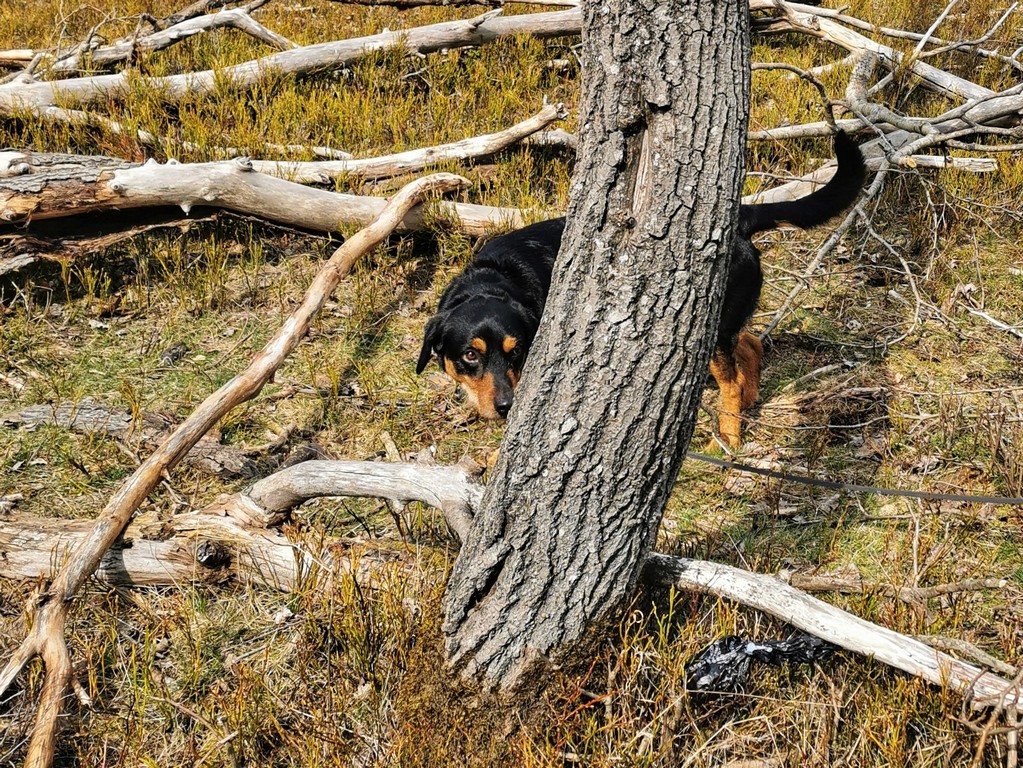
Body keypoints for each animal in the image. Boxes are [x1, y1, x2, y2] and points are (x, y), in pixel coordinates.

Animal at [415, 131, 863, 443]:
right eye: (470, 355)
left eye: (517, 350)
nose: (505, 406)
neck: (494, 279)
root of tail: (741, 217)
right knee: (752, 345)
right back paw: (747, 403)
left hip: (710, 328)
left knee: (731, 377)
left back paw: (729, 436)